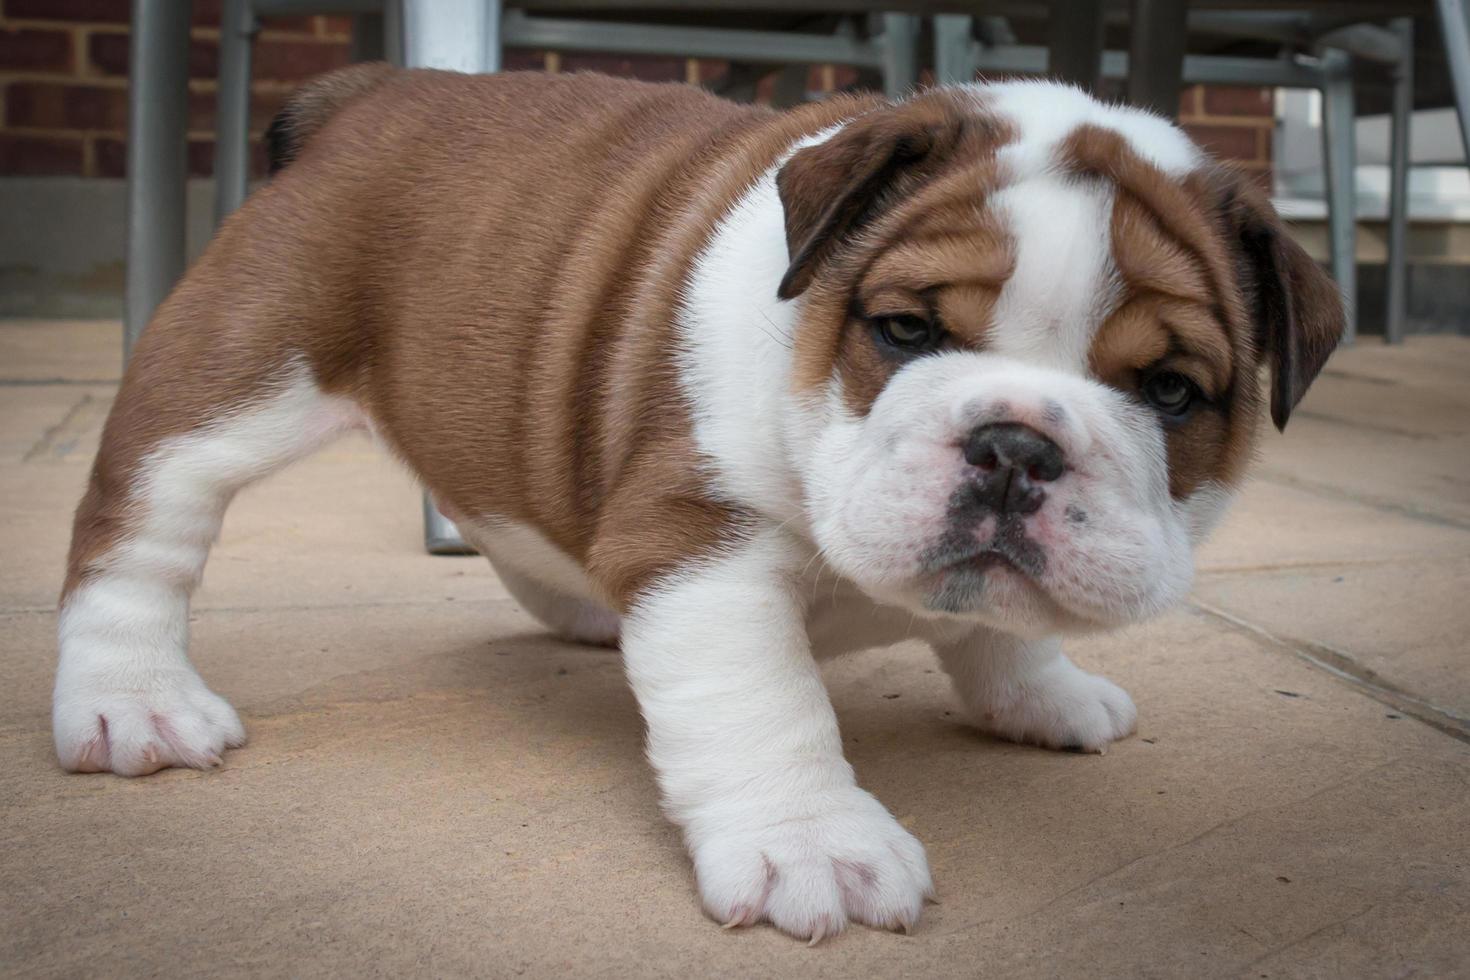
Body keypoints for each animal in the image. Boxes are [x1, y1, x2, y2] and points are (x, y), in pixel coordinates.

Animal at [54, 67, 1346, 940]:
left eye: (1170, 391)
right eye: (904, 329)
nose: (1016, 445)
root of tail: (375, 92)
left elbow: (993, 630)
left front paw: (1043, 692)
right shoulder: (700, 540)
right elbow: (763, 705)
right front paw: (811, 844)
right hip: (236, 365)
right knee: (144, 526)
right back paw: (134, 700)